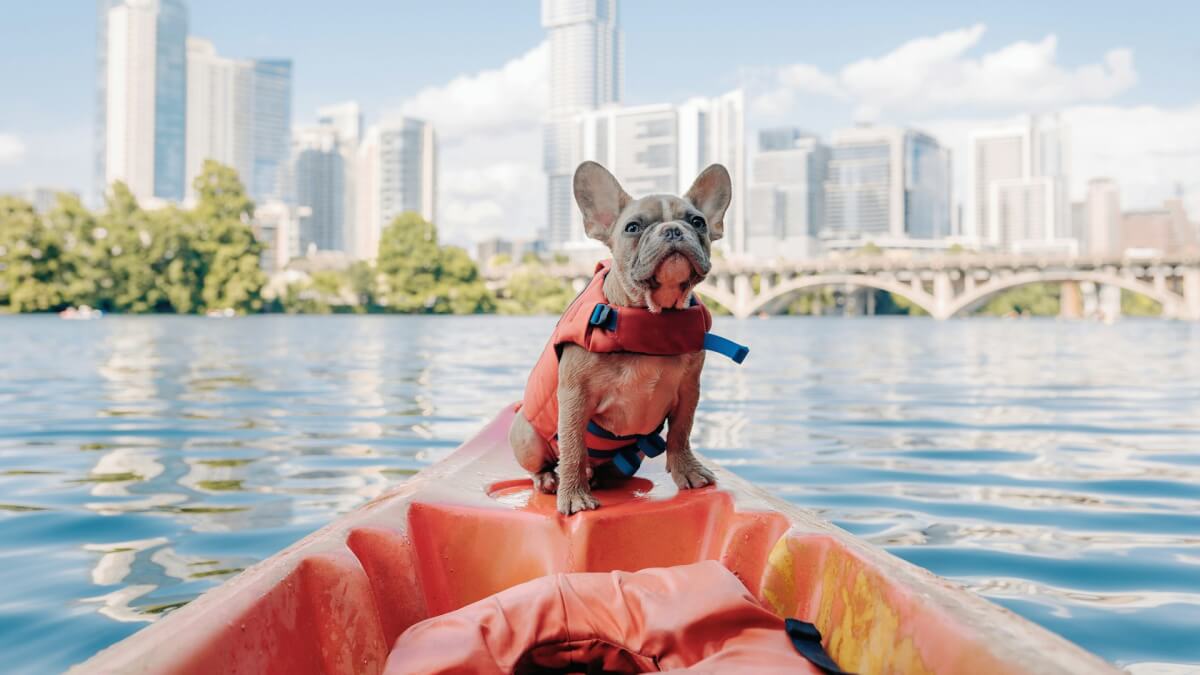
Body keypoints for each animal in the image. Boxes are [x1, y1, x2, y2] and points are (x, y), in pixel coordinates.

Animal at [508, 159, 729, 511]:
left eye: (698, 222)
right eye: (633, 227)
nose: (673, 230)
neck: (654, 315)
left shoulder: (688, 390)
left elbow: (681, 432)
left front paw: (688, 471)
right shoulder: (574, 395)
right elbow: (572, 446)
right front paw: (574, 495)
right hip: (526, 437)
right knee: (544, 463)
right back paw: (550, 480)